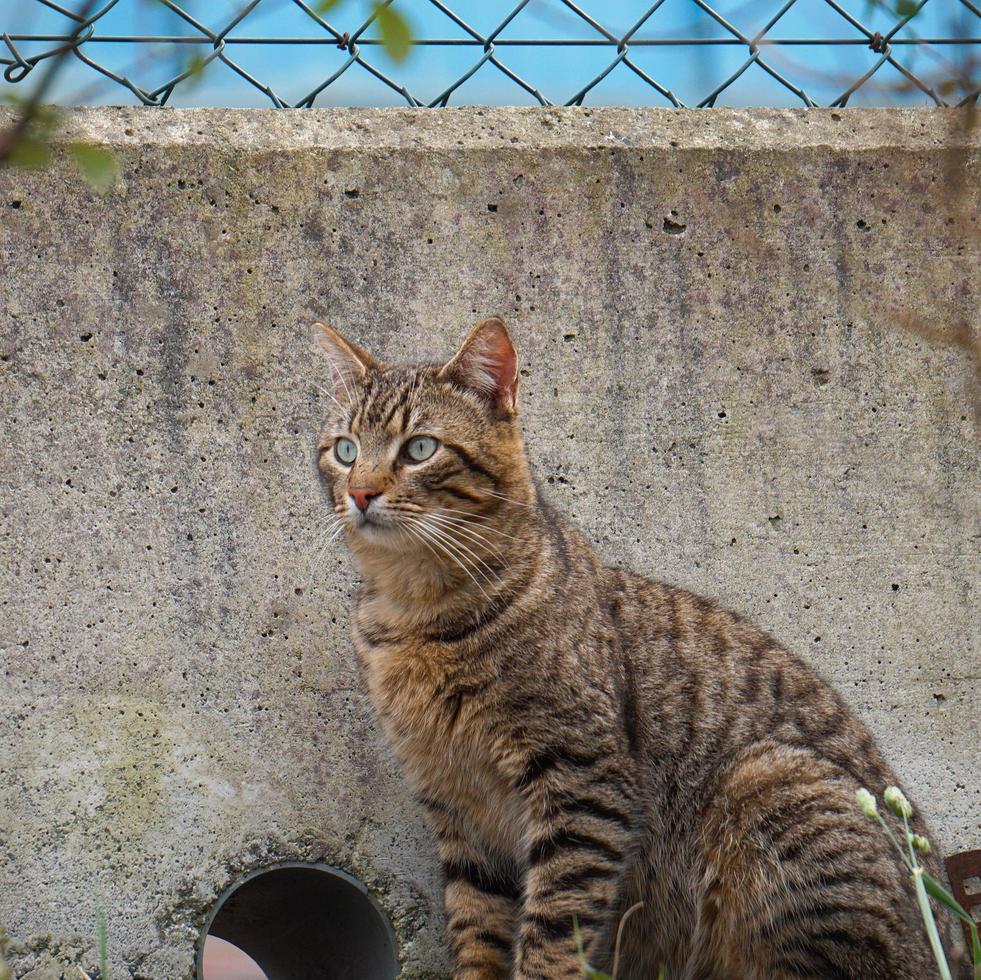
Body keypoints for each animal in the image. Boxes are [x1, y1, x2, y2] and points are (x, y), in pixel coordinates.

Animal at [312, 318, 956, 980]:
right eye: (345, 450)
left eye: (420, 448)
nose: (360, 492)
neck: (416, 609)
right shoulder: (457, 809)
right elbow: (476, 926)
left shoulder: (582, 783)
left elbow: (553, 931)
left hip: (771, 784)